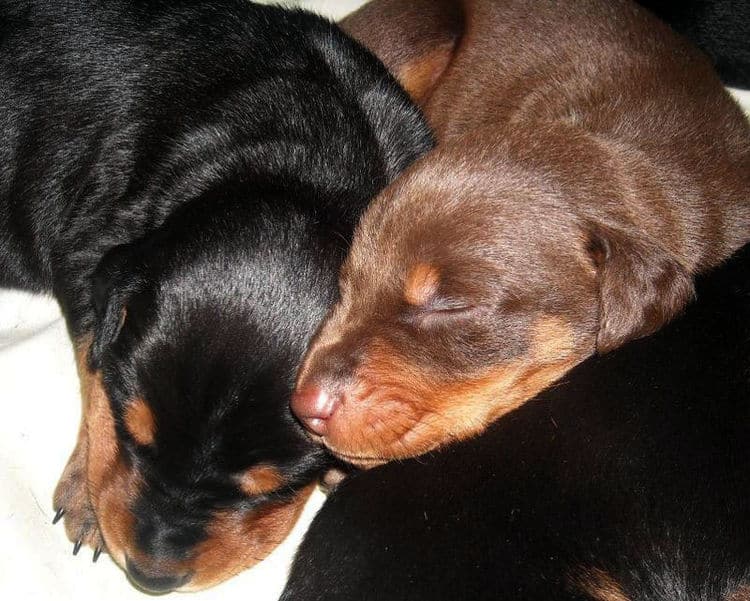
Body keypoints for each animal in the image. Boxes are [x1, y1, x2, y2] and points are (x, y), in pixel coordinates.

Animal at [0, 0, 432, 592]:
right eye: (133, 436)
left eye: (271, 486)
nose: (151, 578)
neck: (306, 169)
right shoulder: (90, 248)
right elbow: (96, 364)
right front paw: (87, 491)